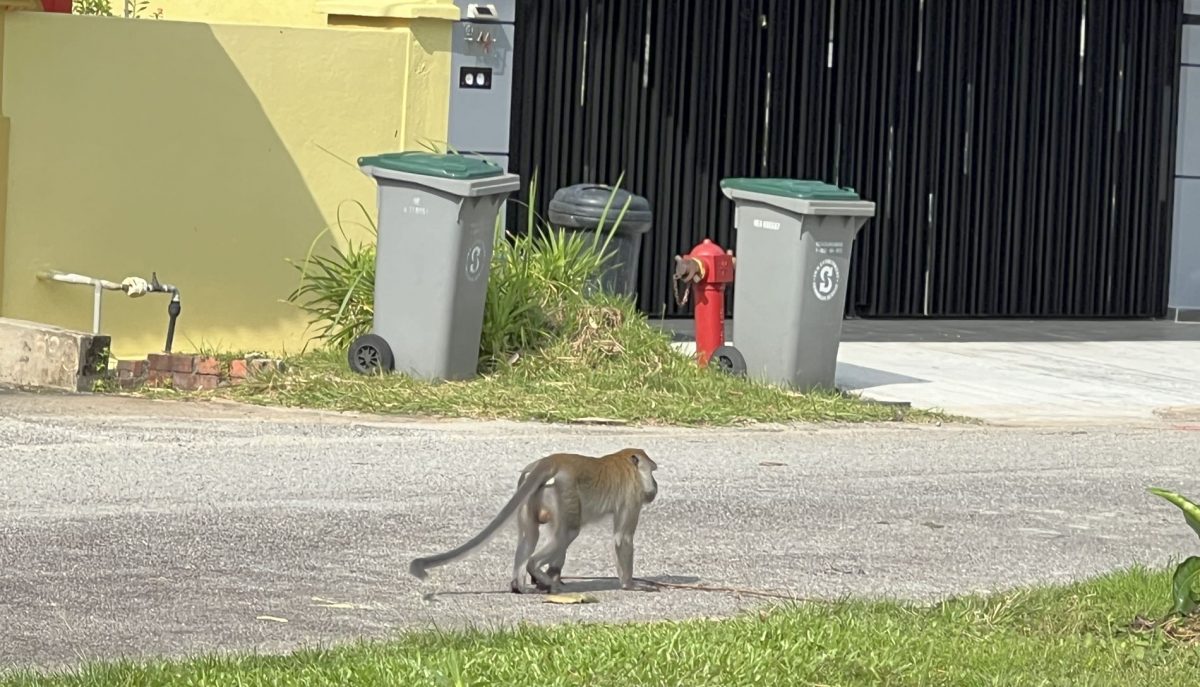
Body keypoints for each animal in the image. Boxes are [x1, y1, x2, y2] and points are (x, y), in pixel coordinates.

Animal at [410, 449, 657, 593]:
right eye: (653, 471)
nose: (655, 486)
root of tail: (550, 462)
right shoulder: (632, 495)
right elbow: (622, 538)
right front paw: (630, 584)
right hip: (564, 491)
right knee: (568, 533)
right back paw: (536, 571)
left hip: (530, 491)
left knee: (531, 535)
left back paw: (521, 584)